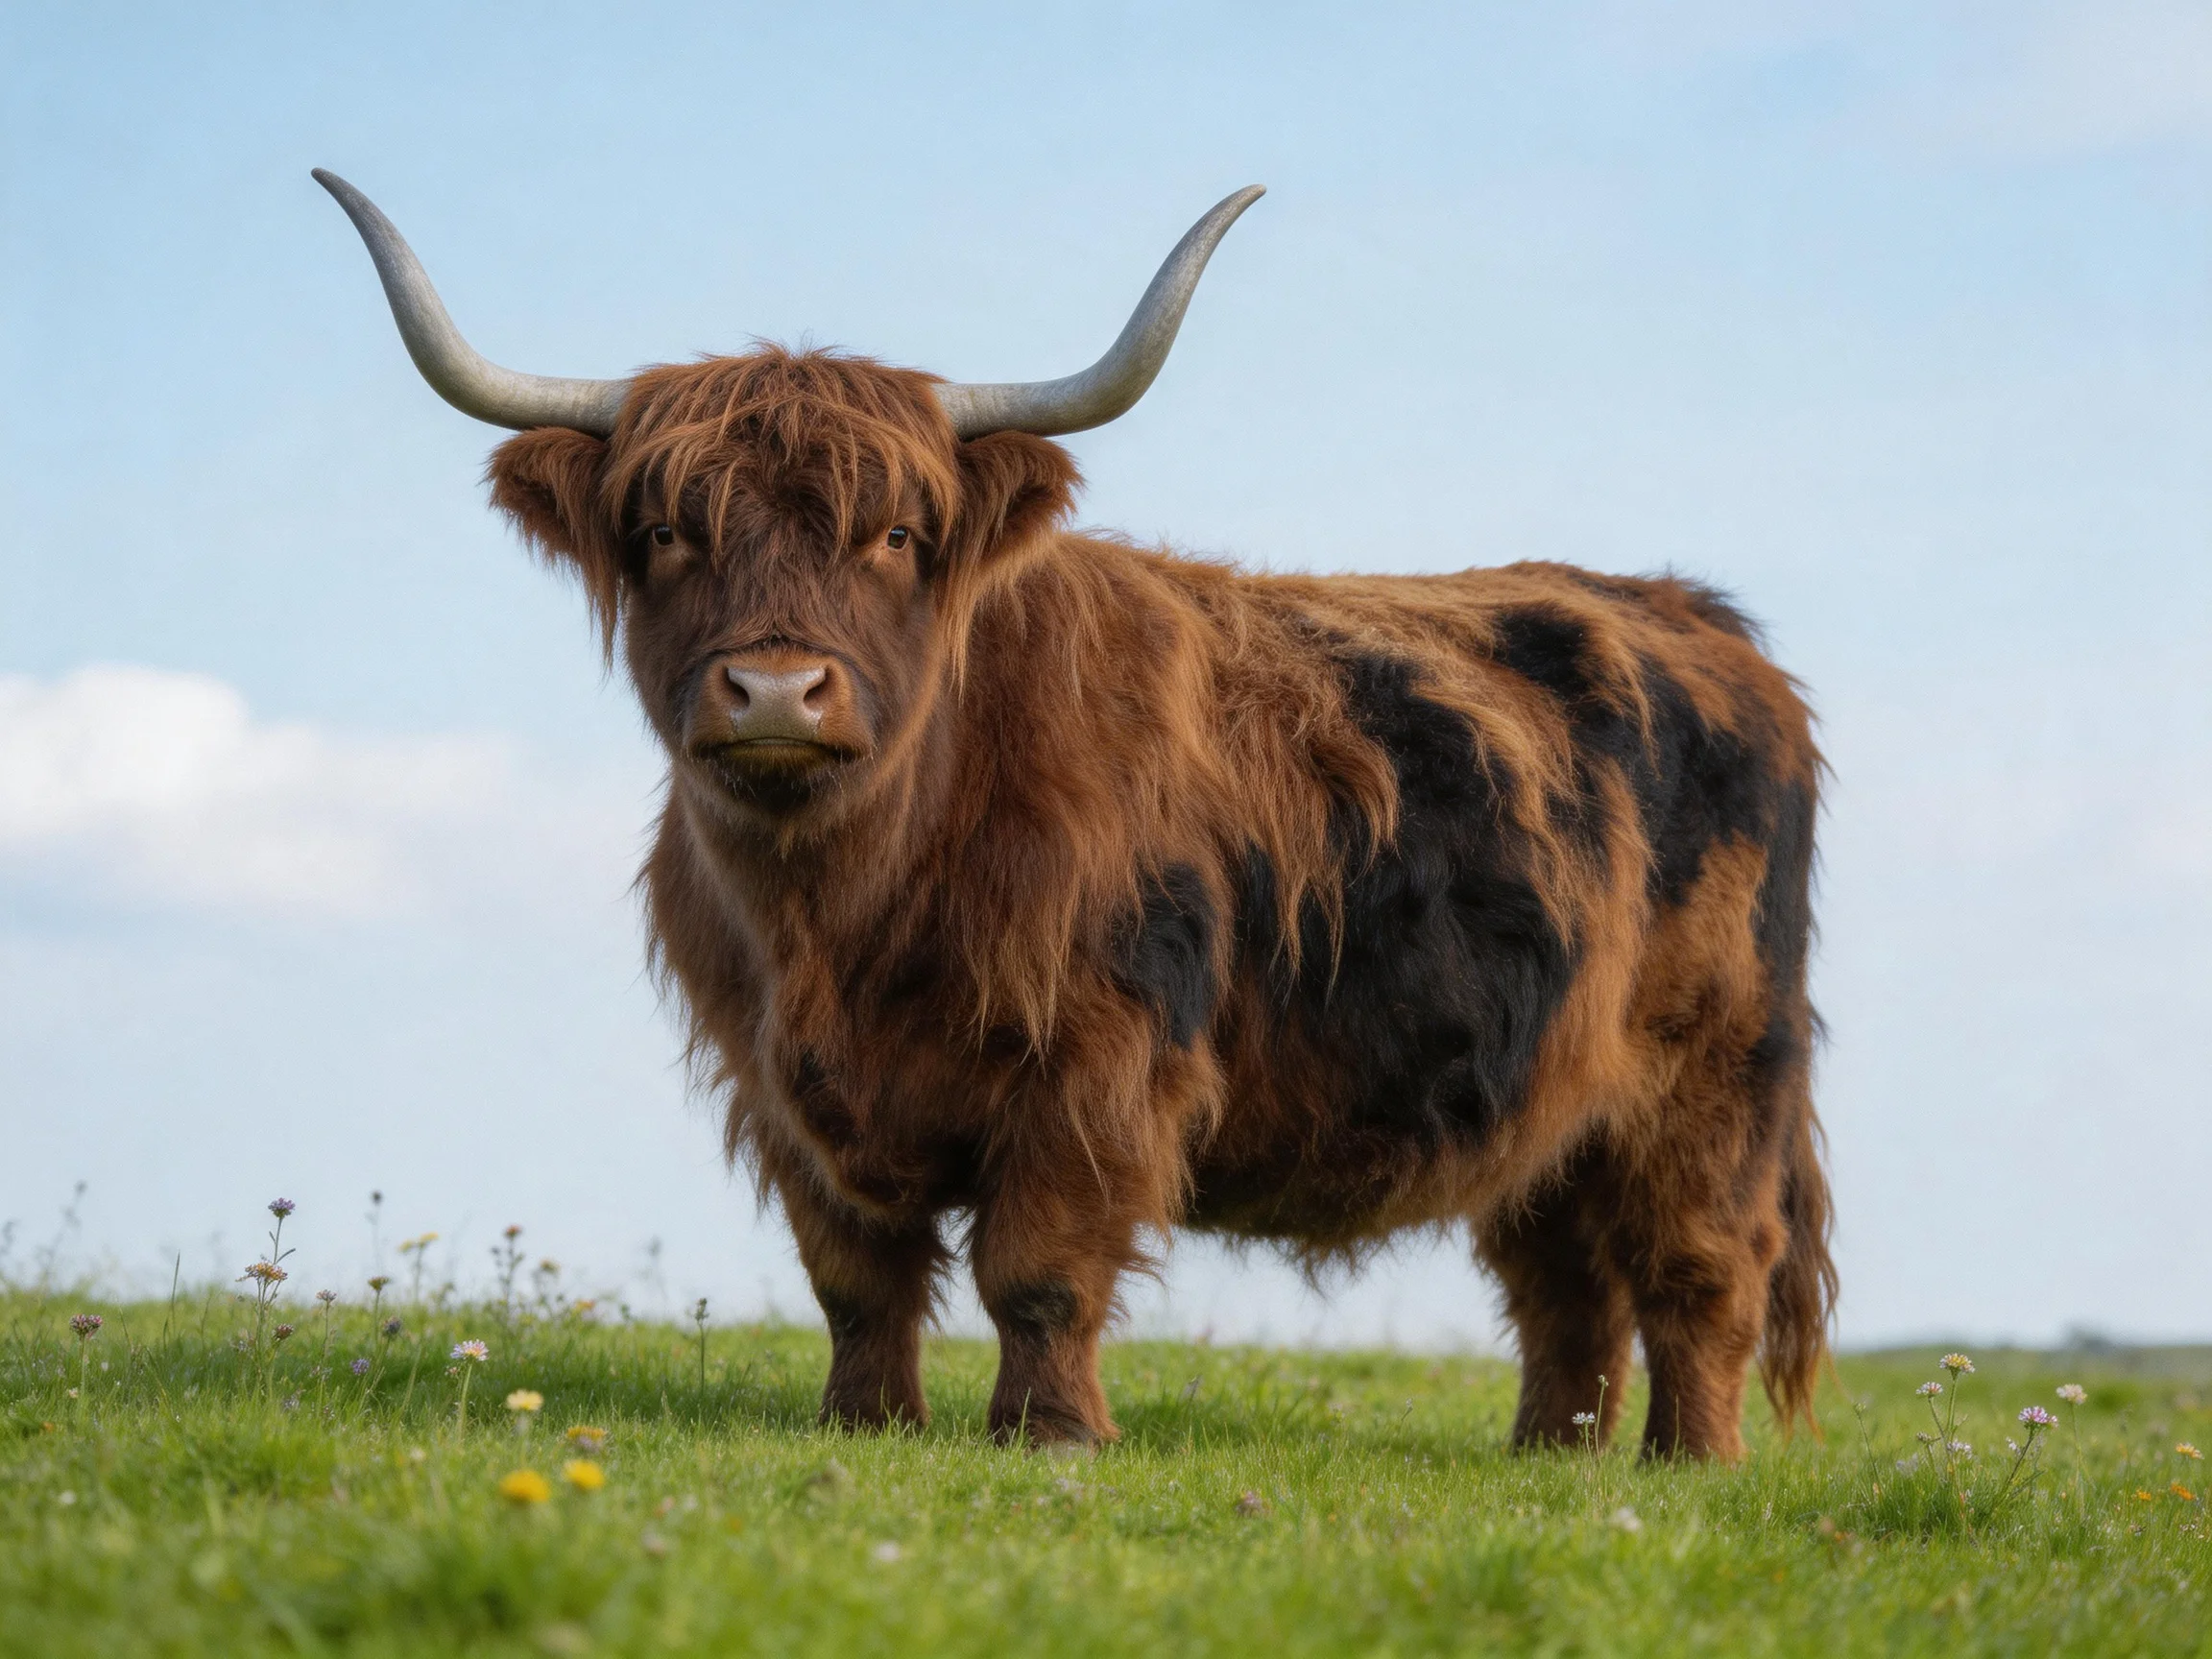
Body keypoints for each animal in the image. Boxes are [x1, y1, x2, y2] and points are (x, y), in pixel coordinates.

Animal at [317, 170, 1833, 1460]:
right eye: (666, 534)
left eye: (898, 537)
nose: (775, 689)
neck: (844, 910)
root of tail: (1696, 617)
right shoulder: (782, 1081)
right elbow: (855, 1276)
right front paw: (868, 1424)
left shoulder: (1097, 1057)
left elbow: (1038, 1267)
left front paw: (1051, 1436)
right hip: (1550, 1091)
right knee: (1563, 1278)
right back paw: (1553, 1459)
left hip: (1715, 1070)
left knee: (1701, 1265)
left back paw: (1688, 1465)